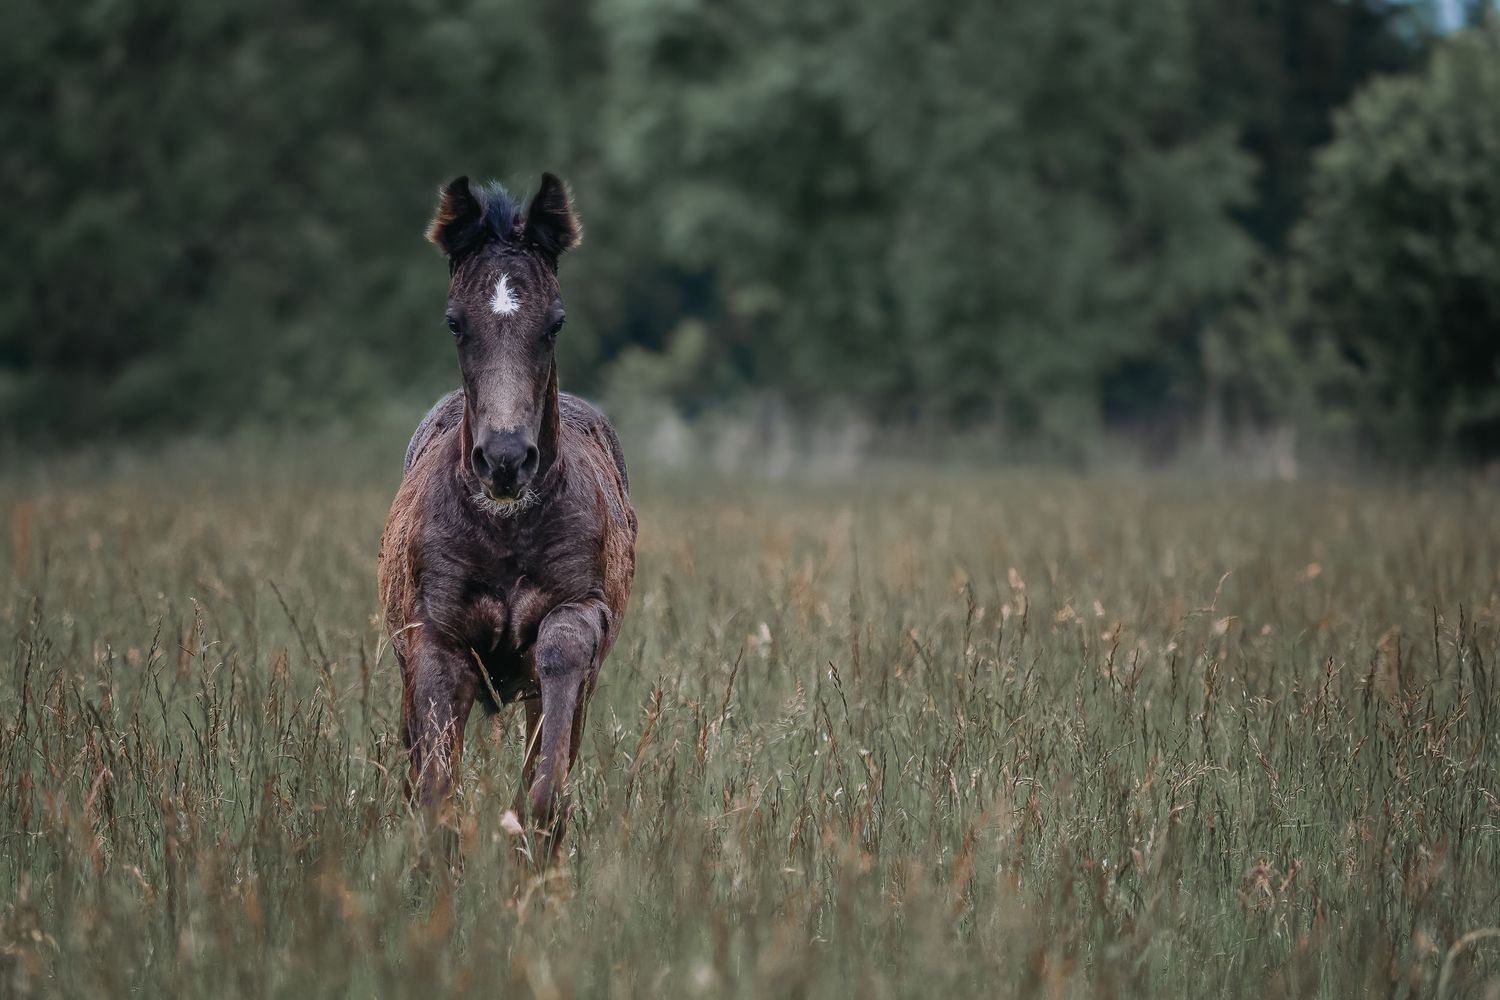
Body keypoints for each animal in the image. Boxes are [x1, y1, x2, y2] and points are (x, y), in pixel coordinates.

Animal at [377, 173, 636, 855]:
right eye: (454, 322)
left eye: (555, 323)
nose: (505, 458)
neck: (505, 528)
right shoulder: (435, 639)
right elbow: (436, 792)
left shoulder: (580, 612)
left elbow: (560, 670)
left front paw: (531, 828)